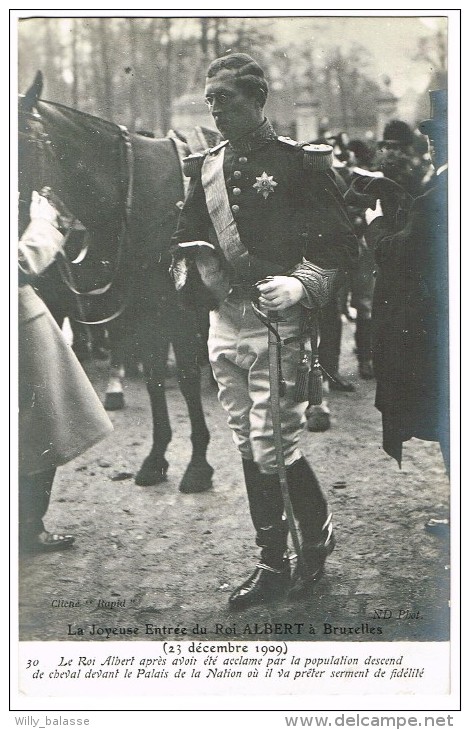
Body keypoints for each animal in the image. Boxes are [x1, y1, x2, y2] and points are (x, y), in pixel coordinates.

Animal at [17, 74, 217, 492]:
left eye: (25, 143)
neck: (136, 194)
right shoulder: (142, 309)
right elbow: (155, 377)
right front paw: (157, 457)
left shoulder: (177, 311)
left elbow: (187, 378)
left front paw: (197, 464)